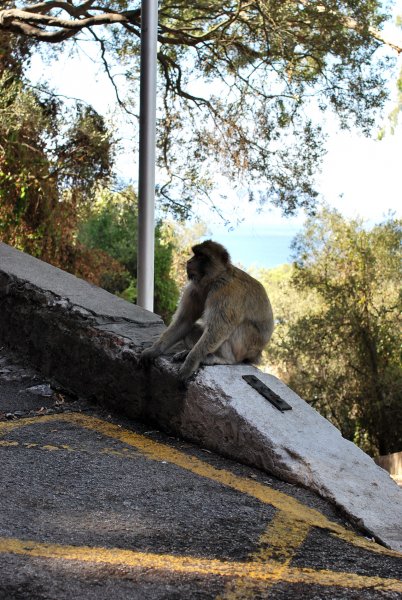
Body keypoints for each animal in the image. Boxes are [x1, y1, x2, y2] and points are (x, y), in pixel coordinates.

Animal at [140, 239, 274, 380]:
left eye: (201, 256)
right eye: (195, 254)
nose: (189, 261)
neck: (214, 279)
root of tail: (257, 354)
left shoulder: (225, 292)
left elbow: (218, 330)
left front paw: (191, 362)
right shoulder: (194, 289)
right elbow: (185, 321)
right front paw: (154, 350)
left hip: (246, 349)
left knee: (237, 329)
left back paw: (224, 359)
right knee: (192, 329)